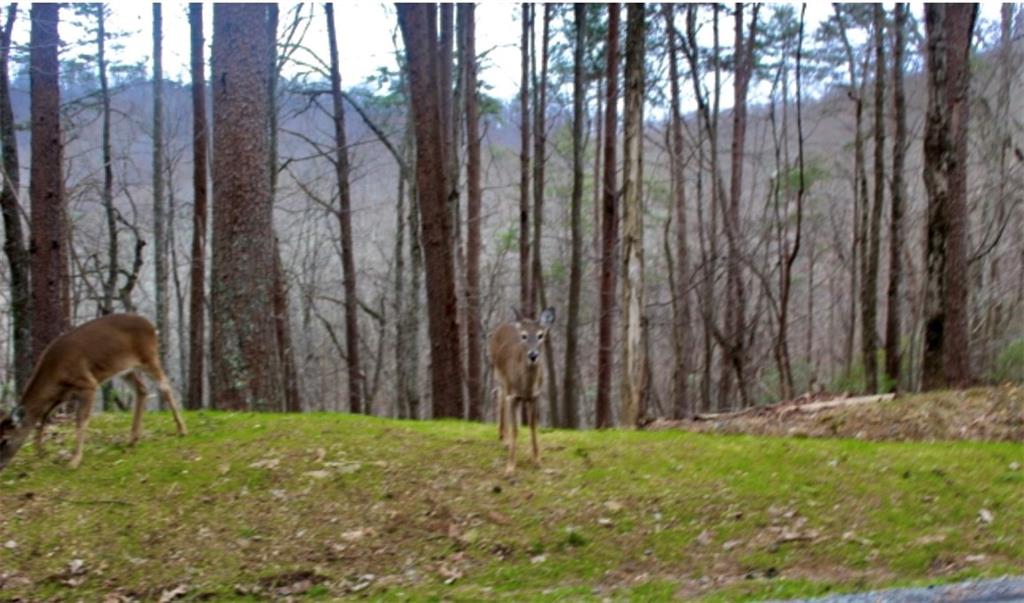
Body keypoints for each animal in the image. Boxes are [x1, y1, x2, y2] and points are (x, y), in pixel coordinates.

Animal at [0, 313, 188, 472]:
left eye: (5, 440)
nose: (1, 466)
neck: (55, 372)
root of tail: (151, 325)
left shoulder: (87, 384)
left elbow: (80, 420)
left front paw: (74, 461)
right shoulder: (63, 395)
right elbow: (44, 417)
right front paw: (40, 452)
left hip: (149, 355)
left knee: (164, 385)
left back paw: (182, 430)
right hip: (125, 368)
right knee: (141, 389)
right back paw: (132, 439)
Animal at [489, 305, 557, 475]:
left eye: (540, 335)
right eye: (524, 336)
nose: (533, 355)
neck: (525, 386)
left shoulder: (535, 396)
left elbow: (533, 427)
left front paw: (537, 461)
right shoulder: (513, 395)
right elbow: (515, 430)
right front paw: (510, 468)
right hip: (499, 374)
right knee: (500, 398)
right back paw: (504, 438)